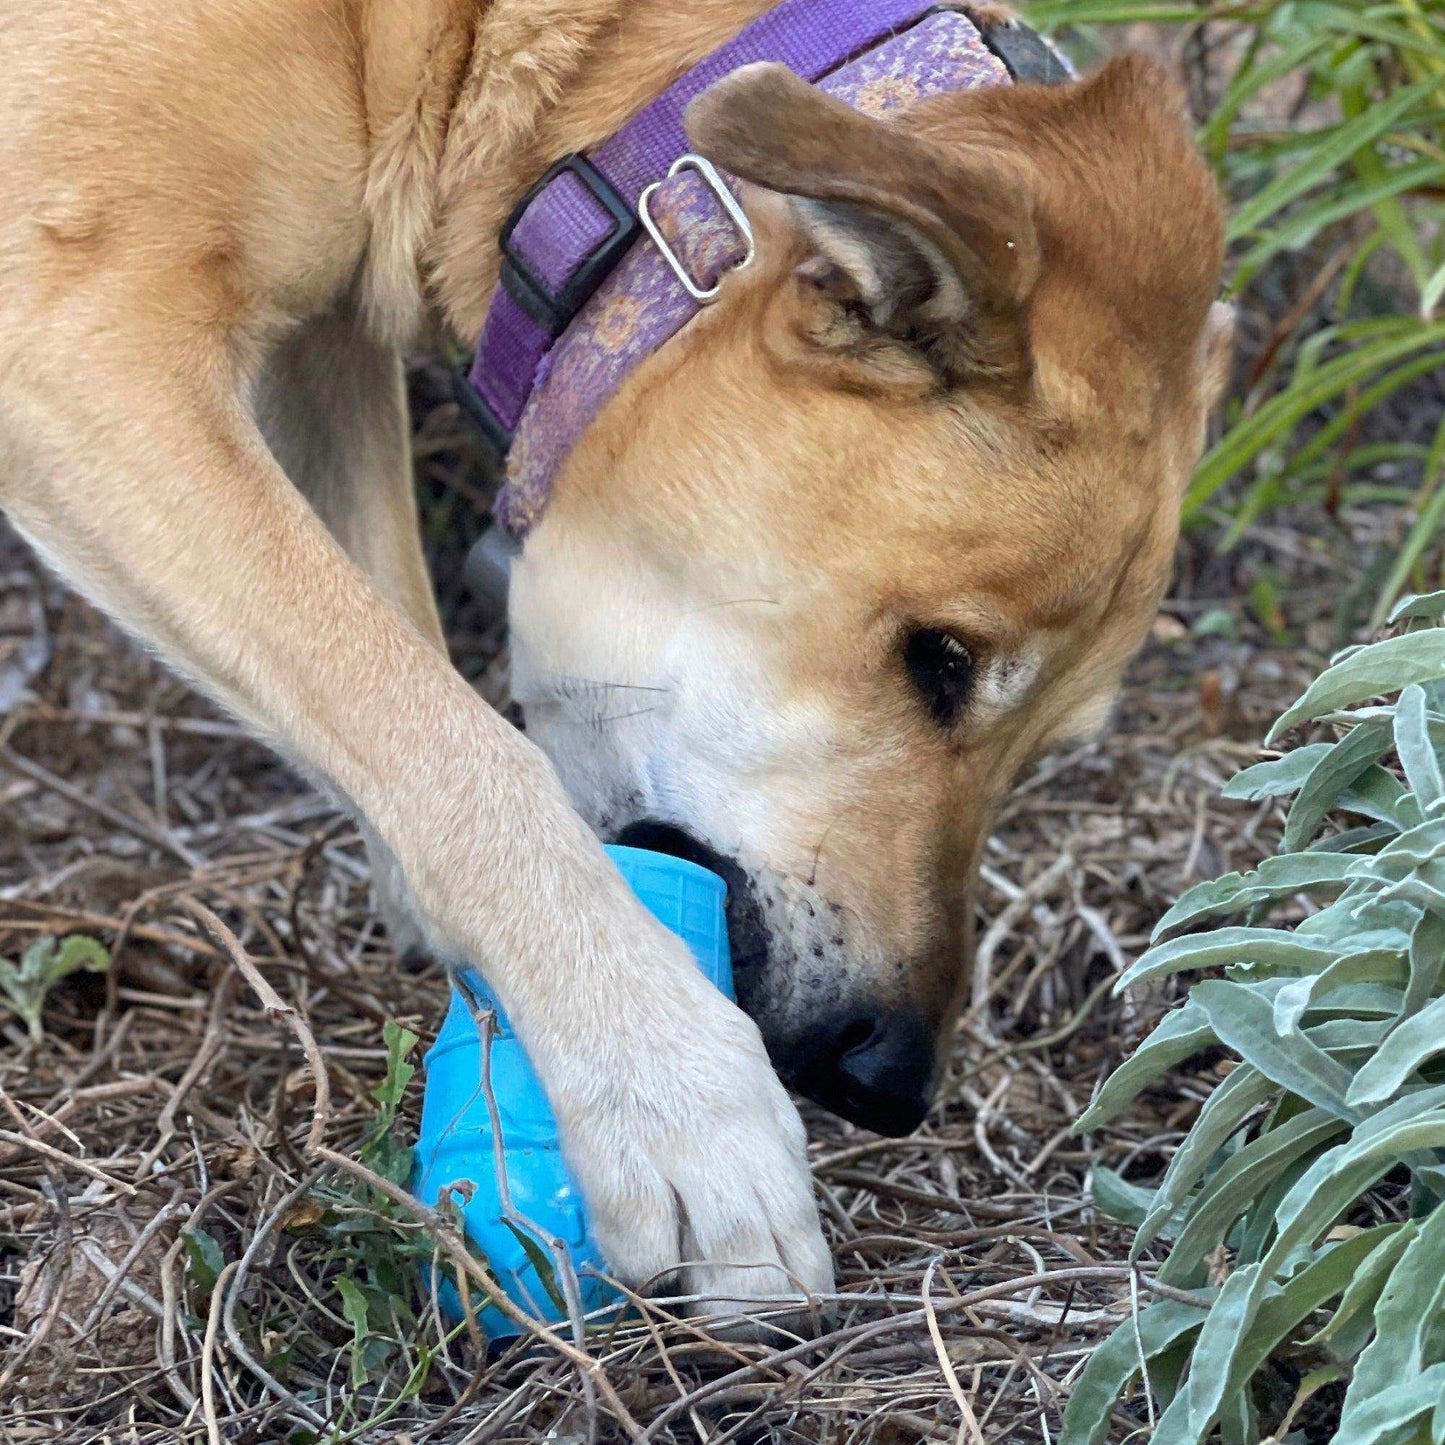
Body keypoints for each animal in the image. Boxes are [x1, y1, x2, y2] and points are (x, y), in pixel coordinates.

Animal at [0, 0, 1231, 1323]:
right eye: (939, 658)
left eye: (1048, 746)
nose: (890, 1079)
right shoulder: (80, 333)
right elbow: (452, 736)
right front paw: (671, 1088)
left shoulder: (312, 347)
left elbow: (399, 650)